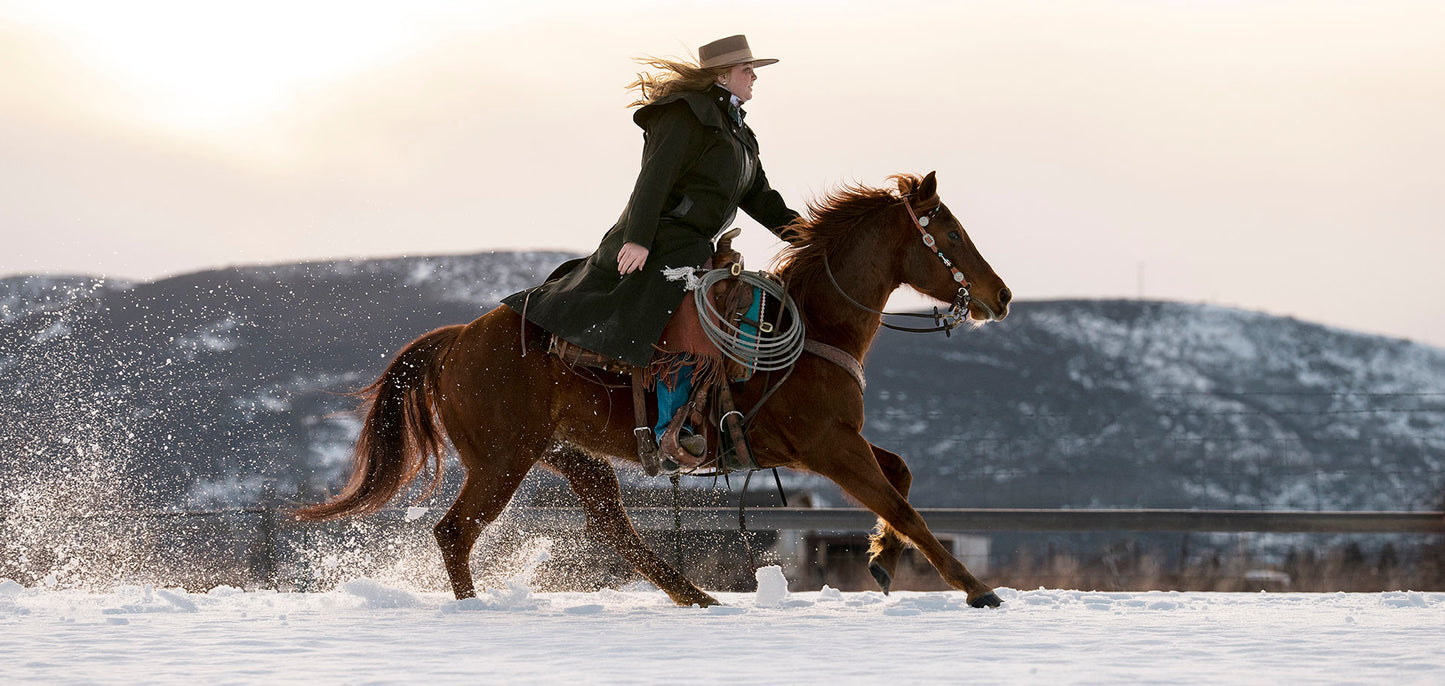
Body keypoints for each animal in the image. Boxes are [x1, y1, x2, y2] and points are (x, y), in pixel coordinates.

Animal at [293, 171, 1012, 608]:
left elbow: (902, 480)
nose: (1001, 296)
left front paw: (882, 558)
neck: (812, 326)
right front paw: (976, 589)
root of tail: (457, 337)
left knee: (615, 530)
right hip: (501, 460)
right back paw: (475, 608)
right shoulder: (828, 447)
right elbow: (904, 506)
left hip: (568, 456)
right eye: (950, 233)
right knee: (454, 532)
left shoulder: (834, 443)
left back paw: (696, 596)